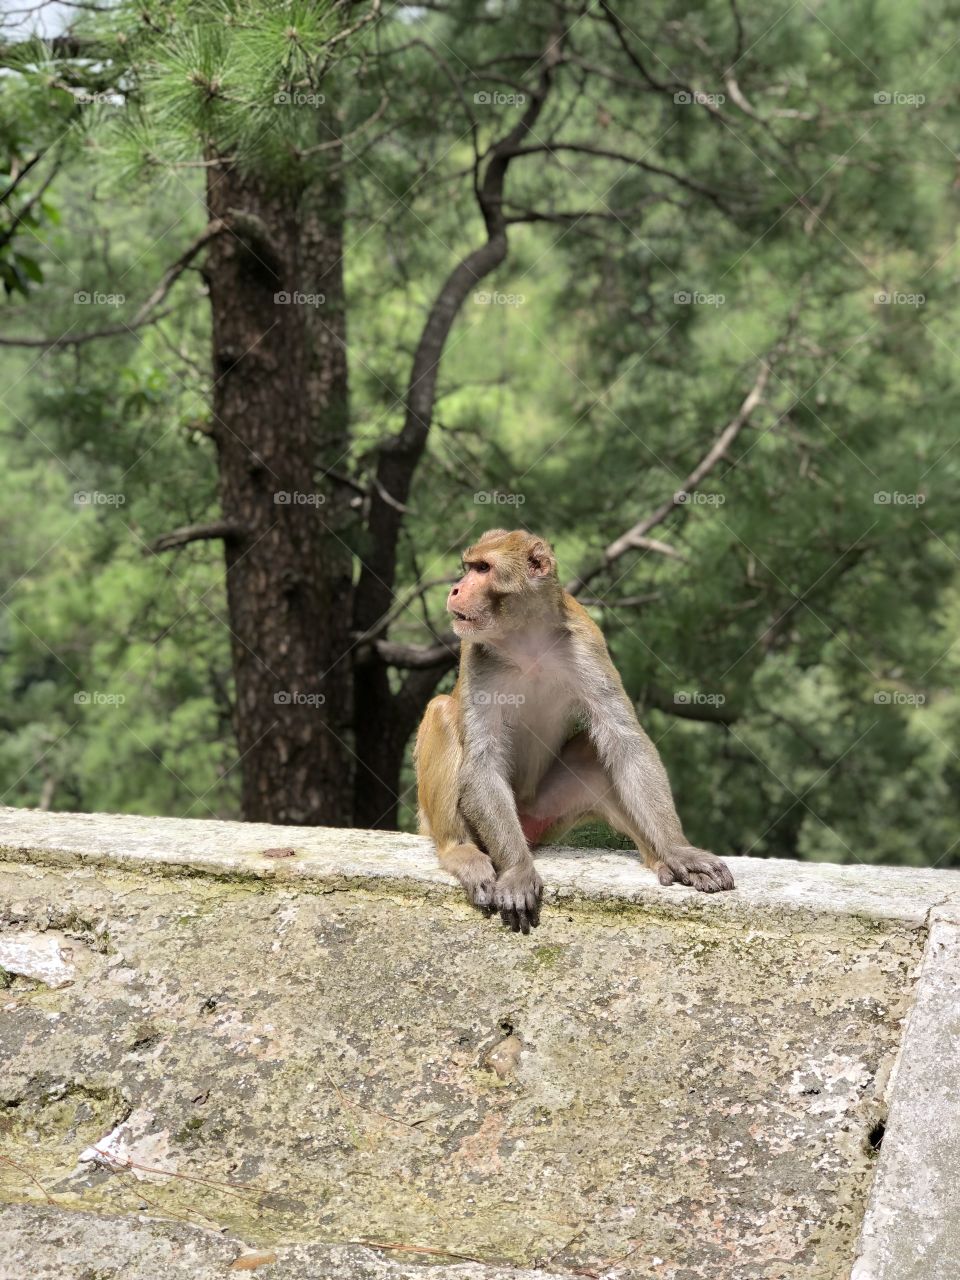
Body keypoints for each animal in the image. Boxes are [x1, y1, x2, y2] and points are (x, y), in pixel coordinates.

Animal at [414, 528, 734, 933]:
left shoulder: (586, 642)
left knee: (592, 753)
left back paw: (658, 858)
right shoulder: (475, 653)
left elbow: (625, 743)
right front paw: (517, 872)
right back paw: (460, 850)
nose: (455, 589)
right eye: (469, 567)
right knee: (441, 711)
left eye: (482, 569)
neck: (525, 638)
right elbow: (482, 761)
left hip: (543, 813)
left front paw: (680, 851)